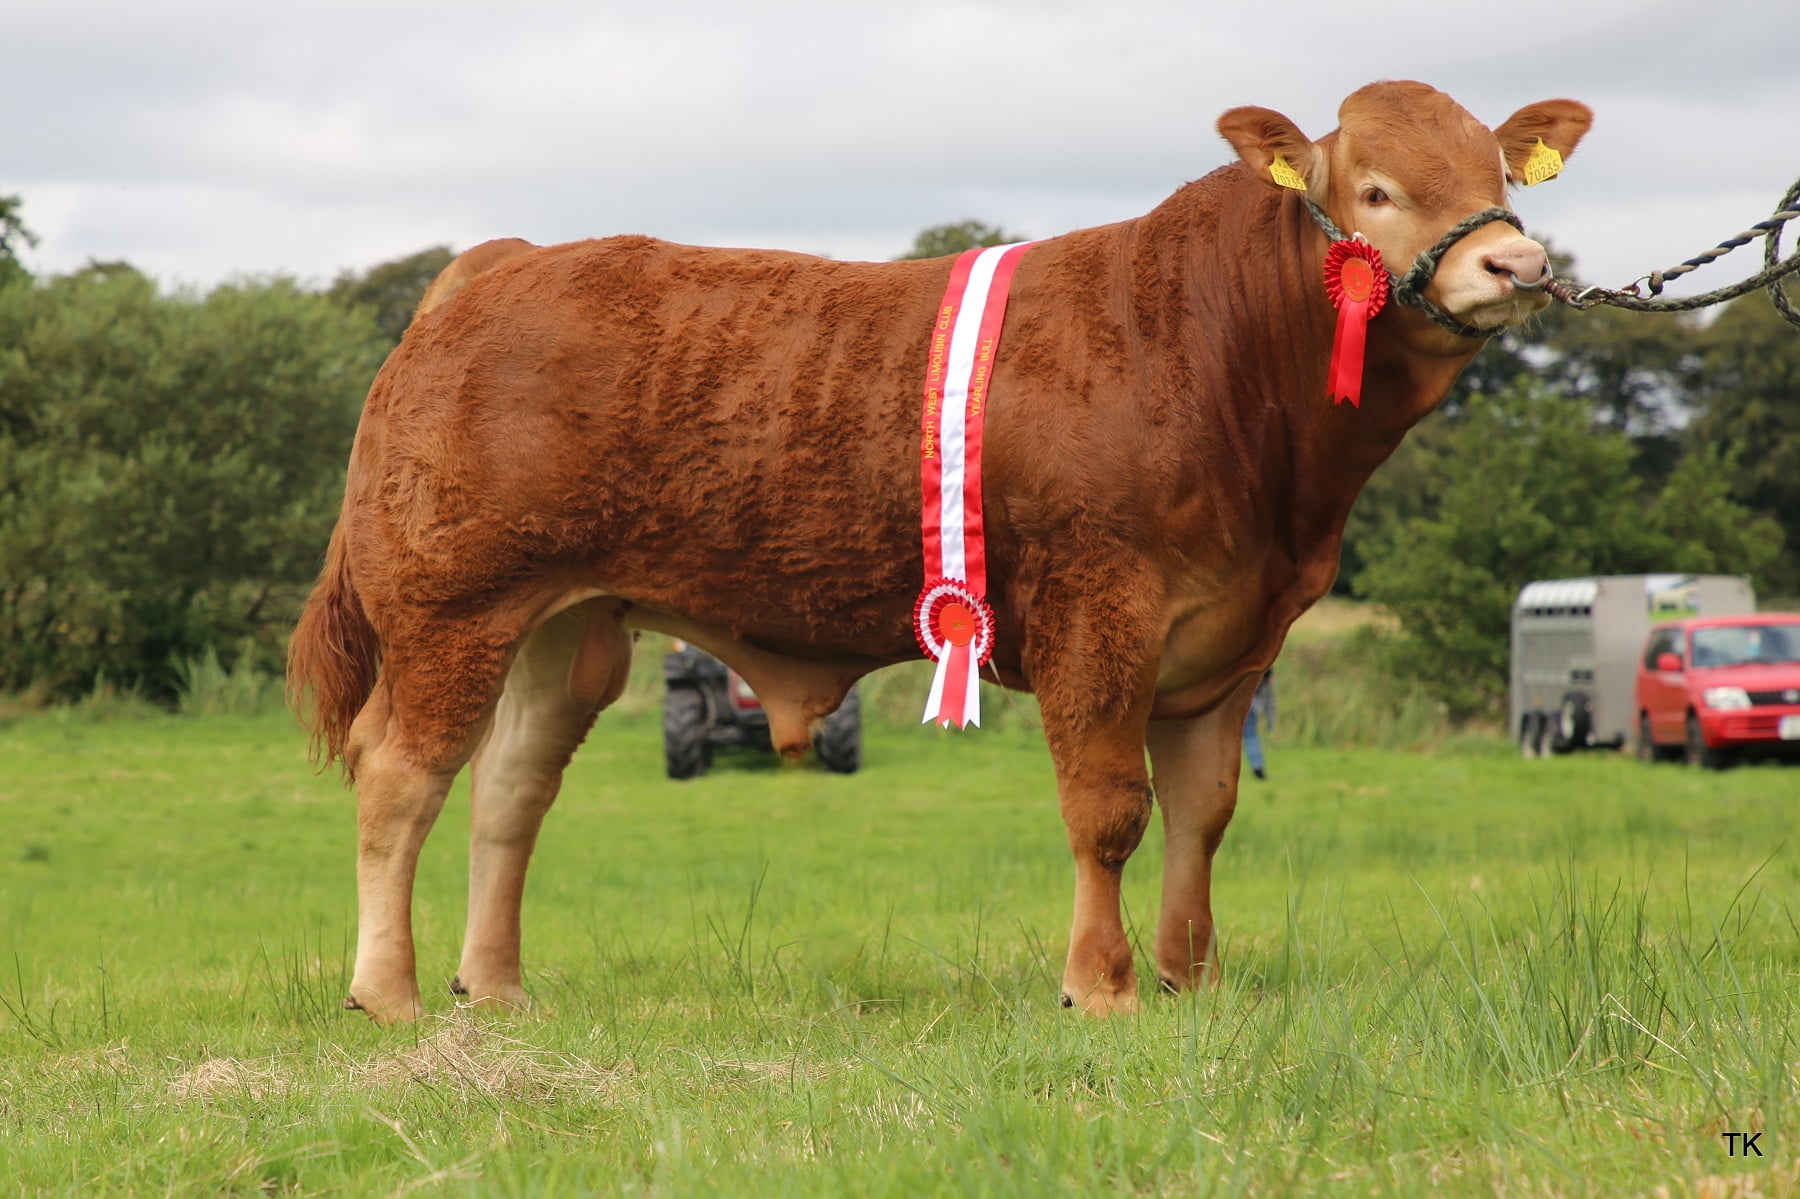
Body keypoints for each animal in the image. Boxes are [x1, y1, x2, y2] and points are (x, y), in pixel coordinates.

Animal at [289, 81, 1592, 1023]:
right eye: (1375, 188)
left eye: (1498, 176)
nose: (1519, 266)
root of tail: (502, 260)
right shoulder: (1099, 611)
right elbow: (1109, 808)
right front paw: (1103, 986)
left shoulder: (1233, 641)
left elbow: (1204, 809)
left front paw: (1192, 976)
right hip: (452, 608)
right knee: (401, 775)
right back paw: (389, 993)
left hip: (565, 625)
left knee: (509, 789)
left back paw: (498, 986)